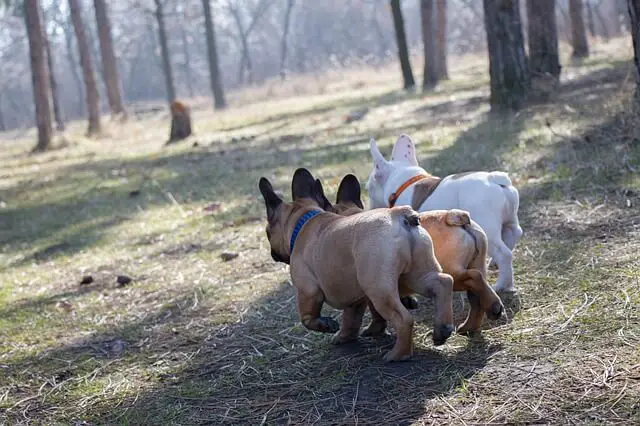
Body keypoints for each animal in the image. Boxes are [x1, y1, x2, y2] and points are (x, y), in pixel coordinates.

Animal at [368, 135, 524, 292]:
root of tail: (494, 179)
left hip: (487, 227)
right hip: (510, 219)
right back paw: (495, 263)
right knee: (515, 233)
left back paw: (502, 285)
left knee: (504, 253)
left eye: (368, 189)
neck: (404, 182)